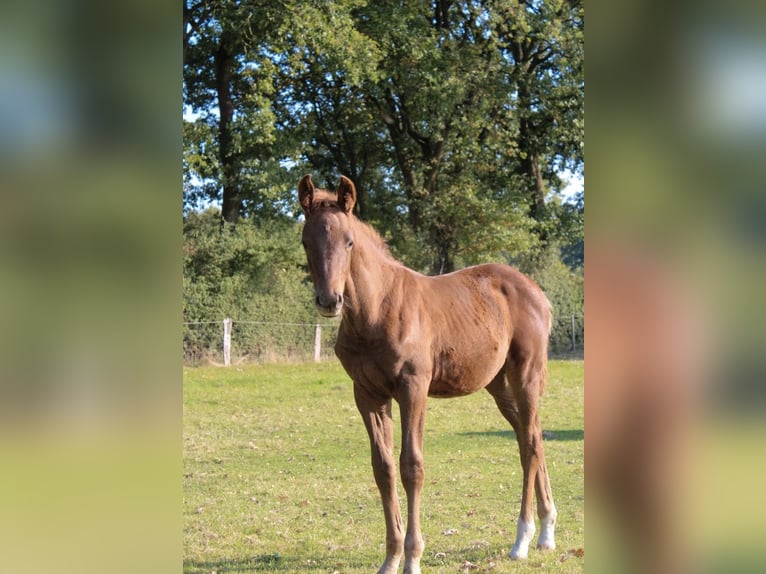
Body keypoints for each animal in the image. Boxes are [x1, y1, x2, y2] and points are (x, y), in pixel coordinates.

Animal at [298, 174, 557, 574]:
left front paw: (413, 557)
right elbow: (383, 469)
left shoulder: (413, 387)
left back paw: (522, 540)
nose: (330, 301)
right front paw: (390, 559)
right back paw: (546, 533)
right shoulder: (367, 394)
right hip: (499, 385)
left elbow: (412, 466)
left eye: (349, 241)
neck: (377, 310)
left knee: (529, 445)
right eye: (306, 241)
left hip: (525, 374)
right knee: (532, 437)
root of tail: (537, 293)